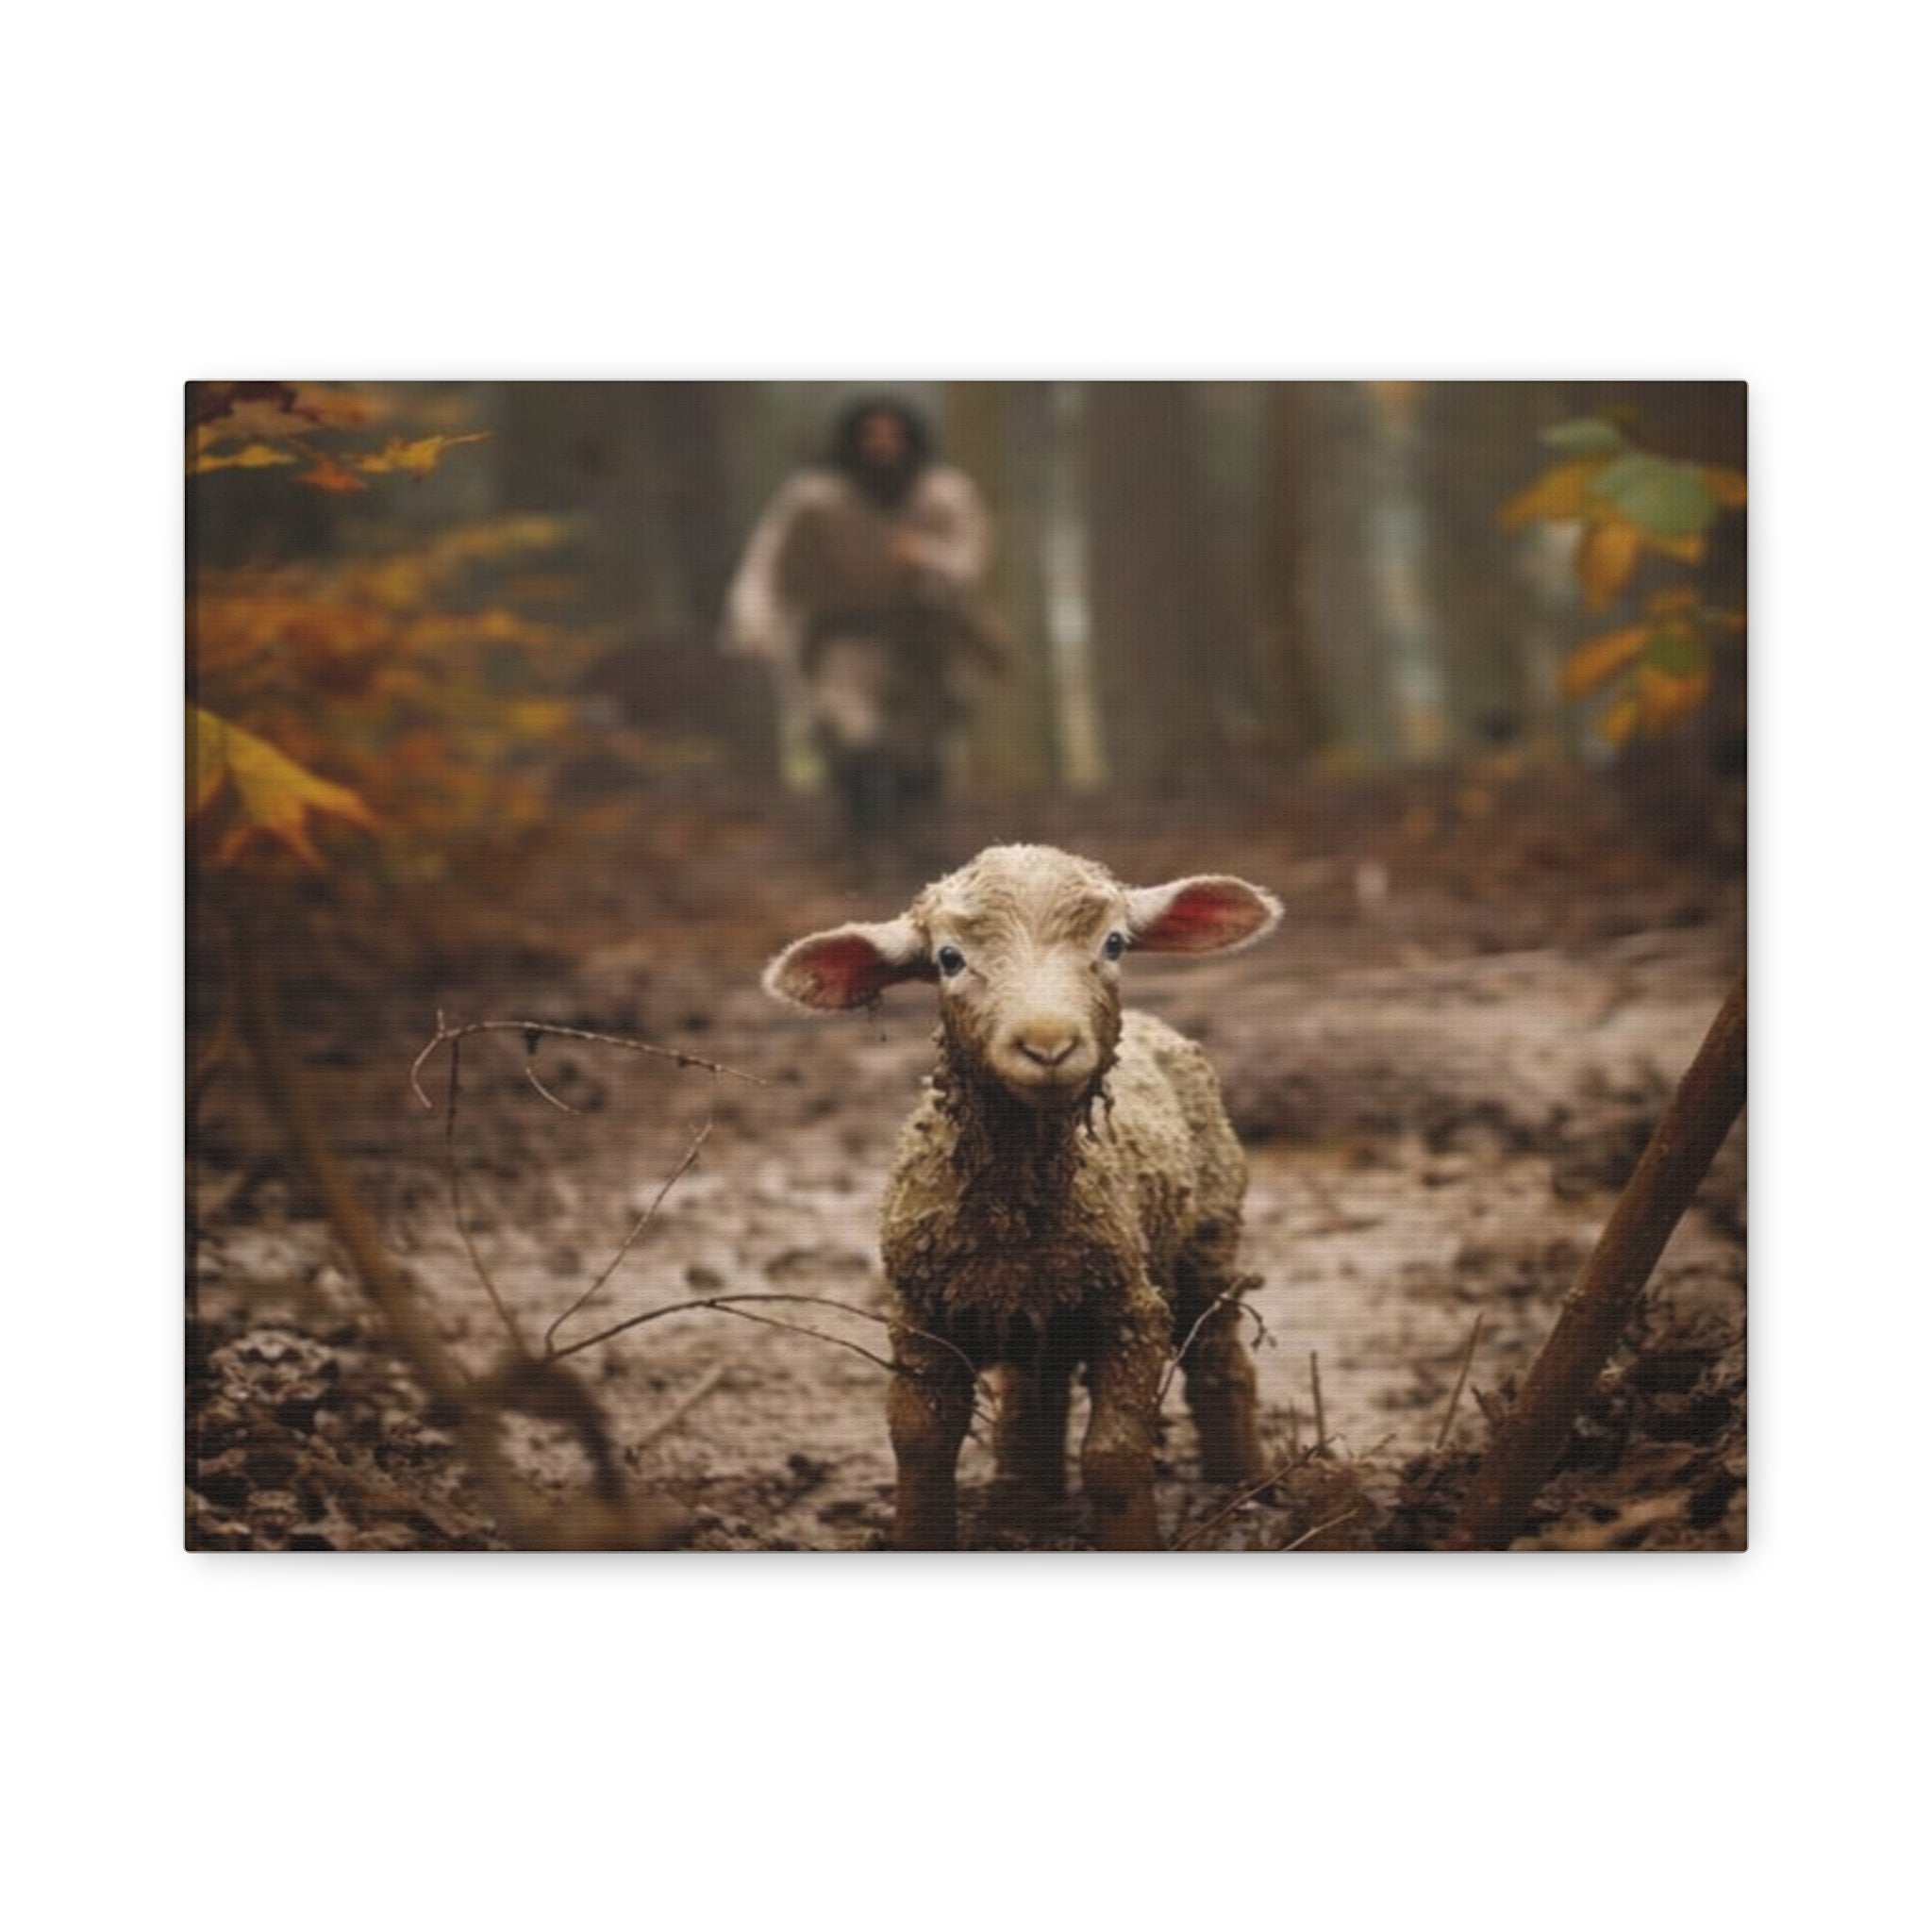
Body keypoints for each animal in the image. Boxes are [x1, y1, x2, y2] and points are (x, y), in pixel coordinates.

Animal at [763, 843, 1281, 1550]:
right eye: (949, 958)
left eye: (1114, 943)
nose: (1047, 1044)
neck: (1015, 1211)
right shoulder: (920, 1316)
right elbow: (920, 1444)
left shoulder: (1131, 1311)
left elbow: (1114, 1455)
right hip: (1047, 1311)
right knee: (1038, 1392)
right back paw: (1024, 1504)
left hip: (1208, 1237)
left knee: (1219, 1360)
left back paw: (1246, 1488)